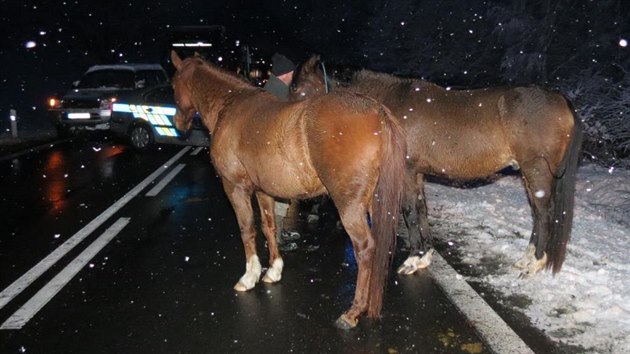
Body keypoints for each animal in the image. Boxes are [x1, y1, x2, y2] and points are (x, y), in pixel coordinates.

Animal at [172, 51, 410, 328]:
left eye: (173, 86)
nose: (178, 123)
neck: (229, 106)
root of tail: (377, 111)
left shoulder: (235, 187)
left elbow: (247, 229)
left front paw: (249, 276)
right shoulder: (263, 191)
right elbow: (269, 227)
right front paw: (274, 270)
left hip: (349, 205)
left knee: (365, 248)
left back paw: (354, 311)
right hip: (375, 201)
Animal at [294, 55, 584, 278]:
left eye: (299, 89)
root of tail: (560, 99)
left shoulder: (406, 172)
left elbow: (410, 212)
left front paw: (413, 259)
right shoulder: (417, 174)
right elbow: (421, 210)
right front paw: (424, 256)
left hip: (536, 170)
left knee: (544, 214)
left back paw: (534, 264)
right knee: (538, 214)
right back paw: (527, 259)